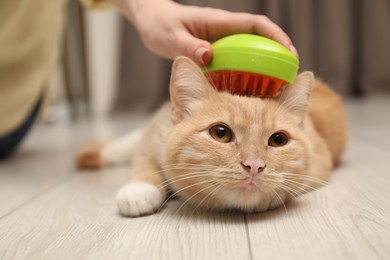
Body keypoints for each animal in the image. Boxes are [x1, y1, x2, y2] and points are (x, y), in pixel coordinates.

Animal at [76, 56, 348, 217]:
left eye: (278, 140)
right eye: (220, 133)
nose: (254, 166)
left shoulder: (319, 163)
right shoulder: (154, 137)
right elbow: (144, 162)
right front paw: (140, 190)